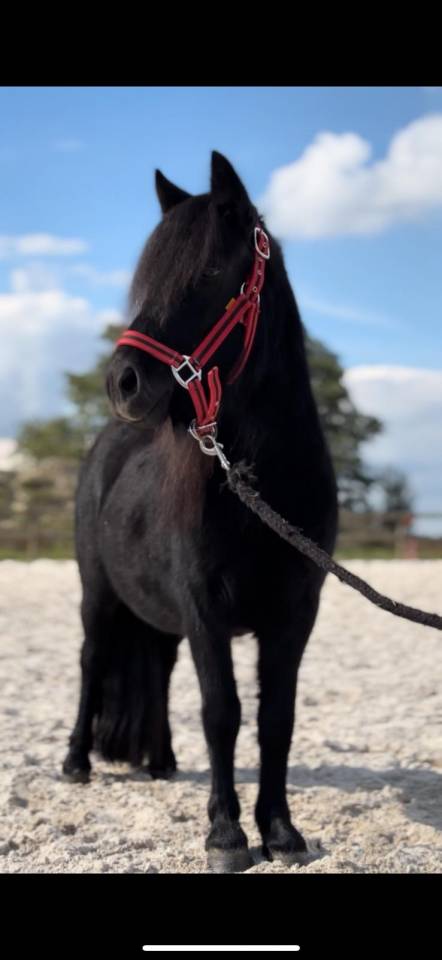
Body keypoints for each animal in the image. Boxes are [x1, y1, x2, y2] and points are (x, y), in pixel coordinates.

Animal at [63, 151, 338, 872]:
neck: (260, 485)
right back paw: (75, 764)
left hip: (159, 616)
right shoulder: (204, 605)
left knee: (156, 669)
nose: (122, 382)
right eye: (148, 277)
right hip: (99, 596)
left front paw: (282, 831)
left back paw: (160, 762)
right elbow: (223, 712)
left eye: (211, 273)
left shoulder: (296, 614)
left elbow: (276, 719)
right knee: (92, 660)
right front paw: (226, 834)